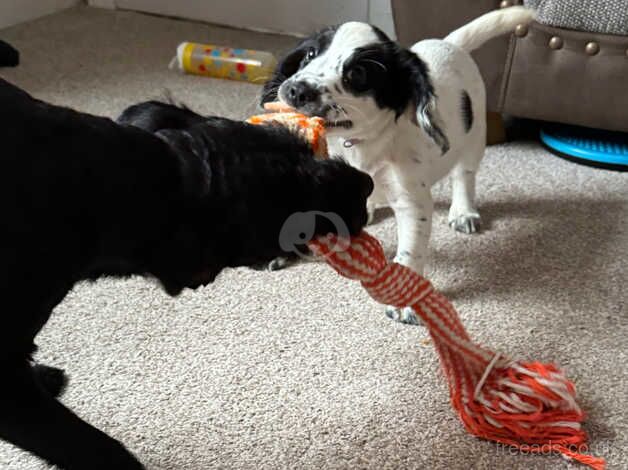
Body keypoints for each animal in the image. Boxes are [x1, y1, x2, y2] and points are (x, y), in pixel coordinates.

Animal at [260, 6, 536, 324]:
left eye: (358, 73)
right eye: (309, 54)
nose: (295, 89)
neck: (362, 144)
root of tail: (448, 43)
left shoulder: (412, 203)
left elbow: (411, 250)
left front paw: (406, 300)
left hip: (474, 137)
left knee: (464, 175)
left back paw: (464, 211)